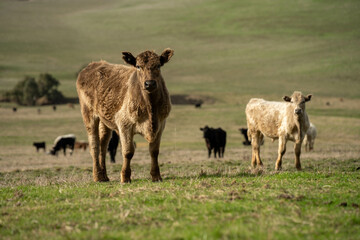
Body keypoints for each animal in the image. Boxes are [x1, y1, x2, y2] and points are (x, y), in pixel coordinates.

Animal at [76, 49, 173, 183]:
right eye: (138, 66)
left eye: (158, 65)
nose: (149, 83)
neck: (150, 108)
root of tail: (92, 65)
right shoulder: (124, 124)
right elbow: (128, 151)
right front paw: (125, 177)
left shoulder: (161, 124)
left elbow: (154, 151)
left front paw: (156, 176)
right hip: (88, 115)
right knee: (94, 145)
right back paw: (97, 176)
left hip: (104, 120)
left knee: (103, 144)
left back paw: (104, 176)